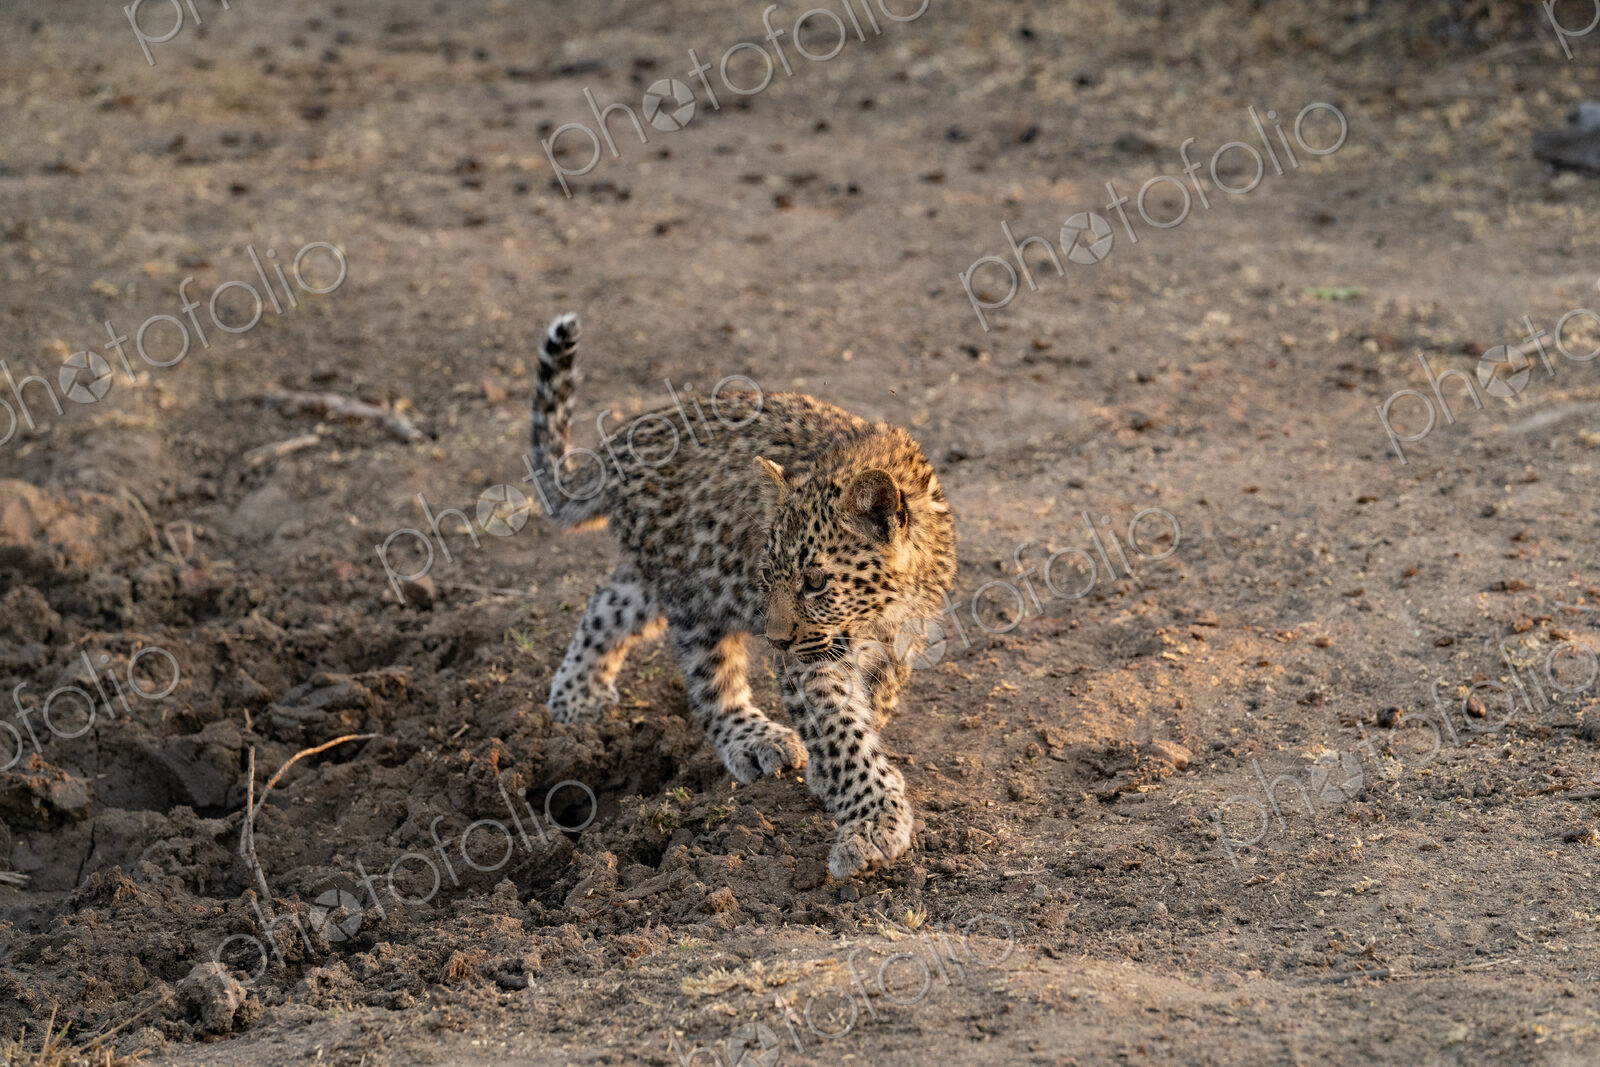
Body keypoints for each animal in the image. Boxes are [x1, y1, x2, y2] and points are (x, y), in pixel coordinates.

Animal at [524, 312, 957, 878]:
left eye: (815, 582)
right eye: (768, 575)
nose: (774, 640)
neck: (884, 610)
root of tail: (621, 443)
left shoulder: (902, 640)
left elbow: (872, 706)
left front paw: (839, 781)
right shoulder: (812, 657)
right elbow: (839, 730)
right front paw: (871, 821)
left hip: (664, 578)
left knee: (607, 605)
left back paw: (576, 698)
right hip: (696, 593)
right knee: (711, 682)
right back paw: (755, 739)